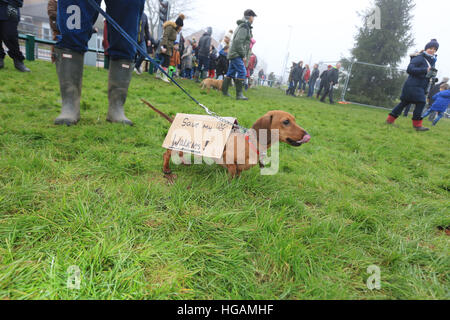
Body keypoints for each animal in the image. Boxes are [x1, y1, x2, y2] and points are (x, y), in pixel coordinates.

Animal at [142, 100, 312, 179]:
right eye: (286, 122)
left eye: (294, 119)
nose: (307, 135)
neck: (250, 142)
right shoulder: (228, 159)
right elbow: (232, 171)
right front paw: (230, 184)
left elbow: (239, 173)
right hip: (174, 143)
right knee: (166, 155)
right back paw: (166, 169)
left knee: (181, 153)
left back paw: (184, 162)